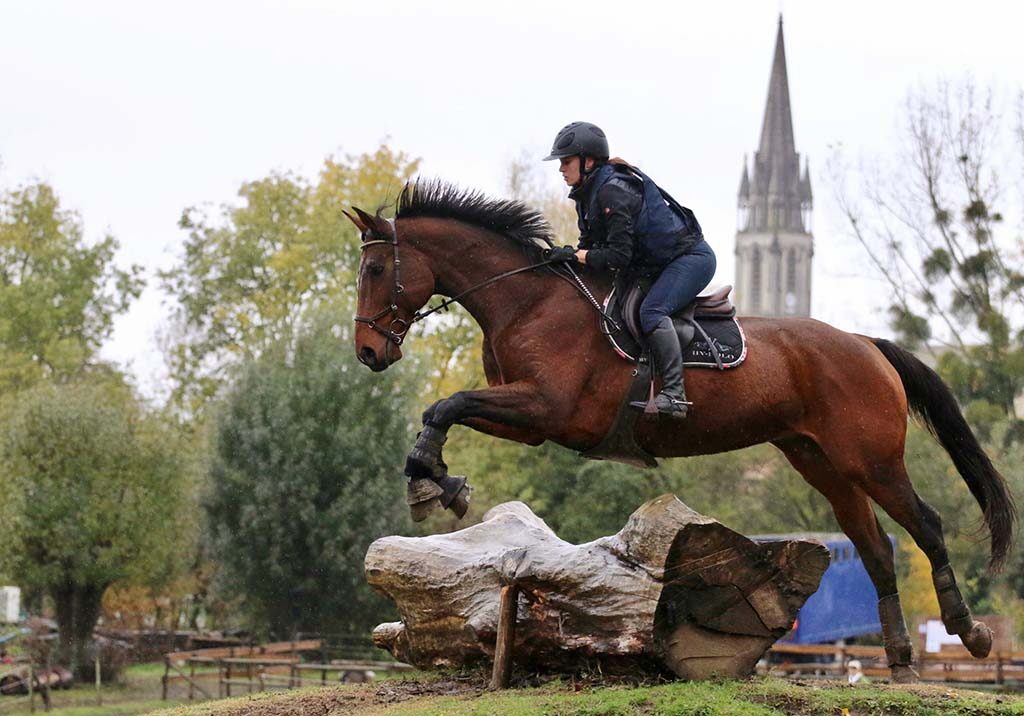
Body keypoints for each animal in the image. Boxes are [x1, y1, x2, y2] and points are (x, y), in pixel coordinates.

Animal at [346, 179, 1015, 684]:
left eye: (375, 267)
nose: (368, 353)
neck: (526, 302)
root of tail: (864, 343)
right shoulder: (529, 421)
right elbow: (445, 410)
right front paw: (435, 481)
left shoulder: (547, 408)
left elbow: (446, 404)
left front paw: (433, 484)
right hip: (820, 462)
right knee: (875, 547)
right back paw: (901, 660)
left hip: (870, 459)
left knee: (925, 525)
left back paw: (970, 632)